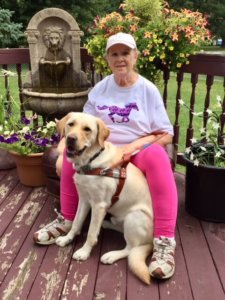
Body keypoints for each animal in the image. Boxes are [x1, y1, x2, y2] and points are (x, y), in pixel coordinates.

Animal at [55, 112, 154, 284]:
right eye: (70, 124)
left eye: (87, 129)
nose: (71, 139)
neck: (91, 161)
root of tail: (152, 241)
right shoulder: (84, 199)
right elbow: (76, 223)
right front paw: (67, 238)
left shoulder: (99, 205)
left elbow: (91, 233)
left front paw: (84, 252)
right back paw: (106, 224)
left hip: (134, 216)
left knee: (131, 249)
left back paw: (111, 255)